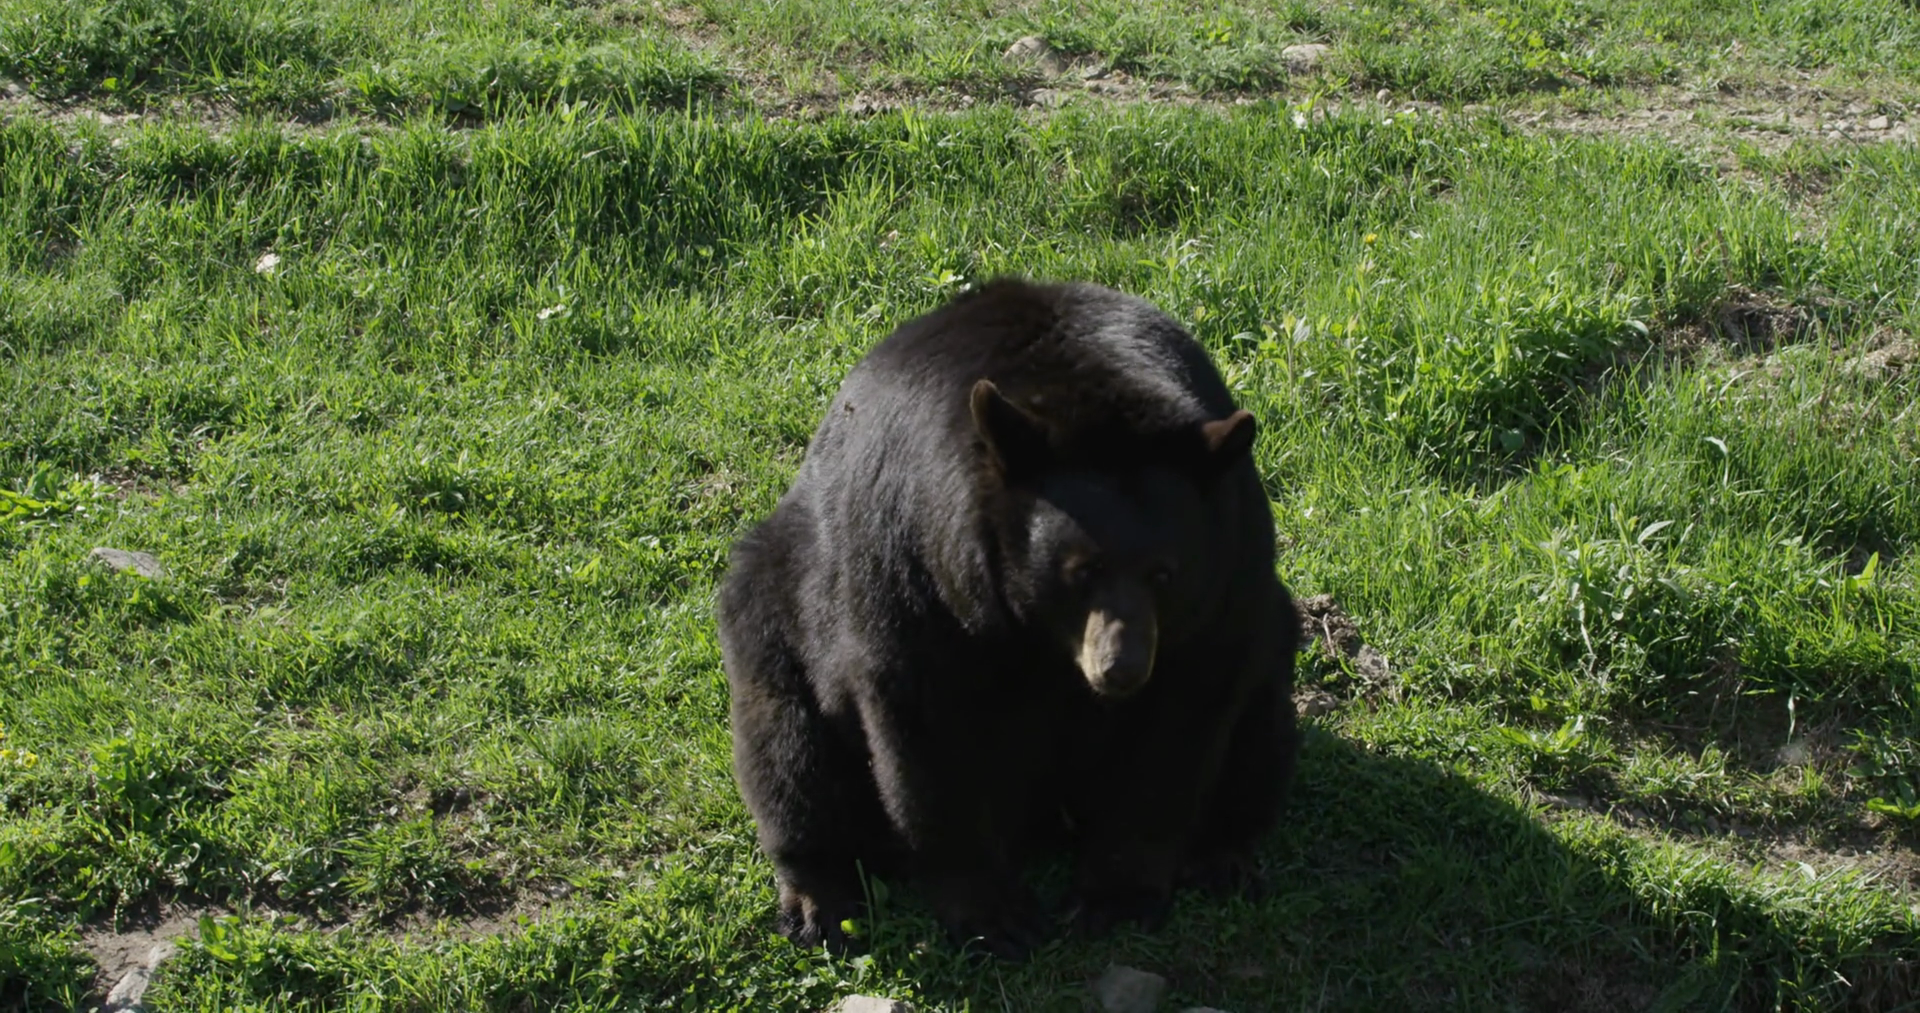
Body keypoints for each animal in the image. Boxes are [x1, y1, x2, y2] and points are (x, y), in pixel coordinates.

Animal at [716, 277, 1300, 959]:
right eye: (1081, 570)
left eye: (1165, 573)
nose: (1122, 668)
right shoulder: (917, 559)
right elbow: (924, 723)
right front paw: (994, 915)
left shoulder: (1230, 567)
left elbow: (1182, 722)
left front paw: (1116, 898)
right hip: (774, 606)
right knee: (787, 748)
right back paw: (821, 896)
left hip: (1273, 649)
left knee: (1260, 729)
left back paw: (1222, 856)